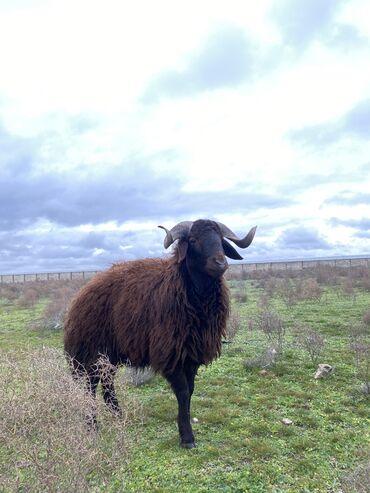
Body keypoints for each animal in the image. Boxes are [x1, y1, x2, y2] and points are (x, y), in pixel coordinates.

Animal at [63, 218, 256, 446]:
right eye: (193, 240)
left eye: (220, 239)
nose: (220, 263)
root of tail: (81, 294)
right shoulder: (170, 353)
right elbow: (183, 392)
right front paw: (187, 437)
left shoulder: (191, 355)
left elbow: (190, 391)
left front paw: (185, 428)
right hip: (92, 352)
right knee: (90, 386)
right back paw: (92, 424)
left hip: (108, 355)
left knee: (107, 385)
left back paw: (119, 417)